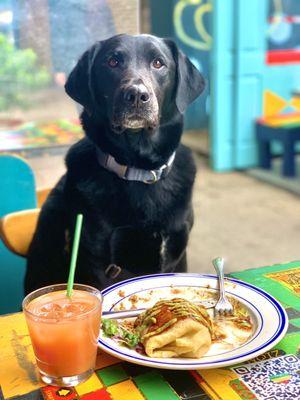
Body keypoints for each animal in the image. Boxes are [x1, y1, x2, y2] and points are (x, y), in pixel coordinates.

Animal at [25, 33, 204, 294]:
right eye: (112, 62)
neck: (140, 172)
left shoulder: (177, 253)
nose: (137, 95)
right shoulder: (101, 263)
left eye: (158, 63)